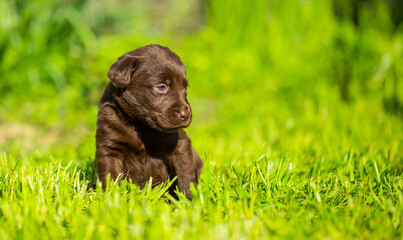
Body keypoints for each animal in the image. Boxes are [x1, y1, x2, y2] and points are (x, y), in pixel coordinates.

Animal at [94, 44, 202, 200]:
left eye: (185, 88)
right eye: (161, 87)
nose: (186, 114)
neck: (140, 126)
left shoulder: (180, 145)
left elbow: (185, 176)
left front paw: (187, 201)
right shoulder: (109, 148)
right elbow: (111, 177)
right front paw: (112, 200)